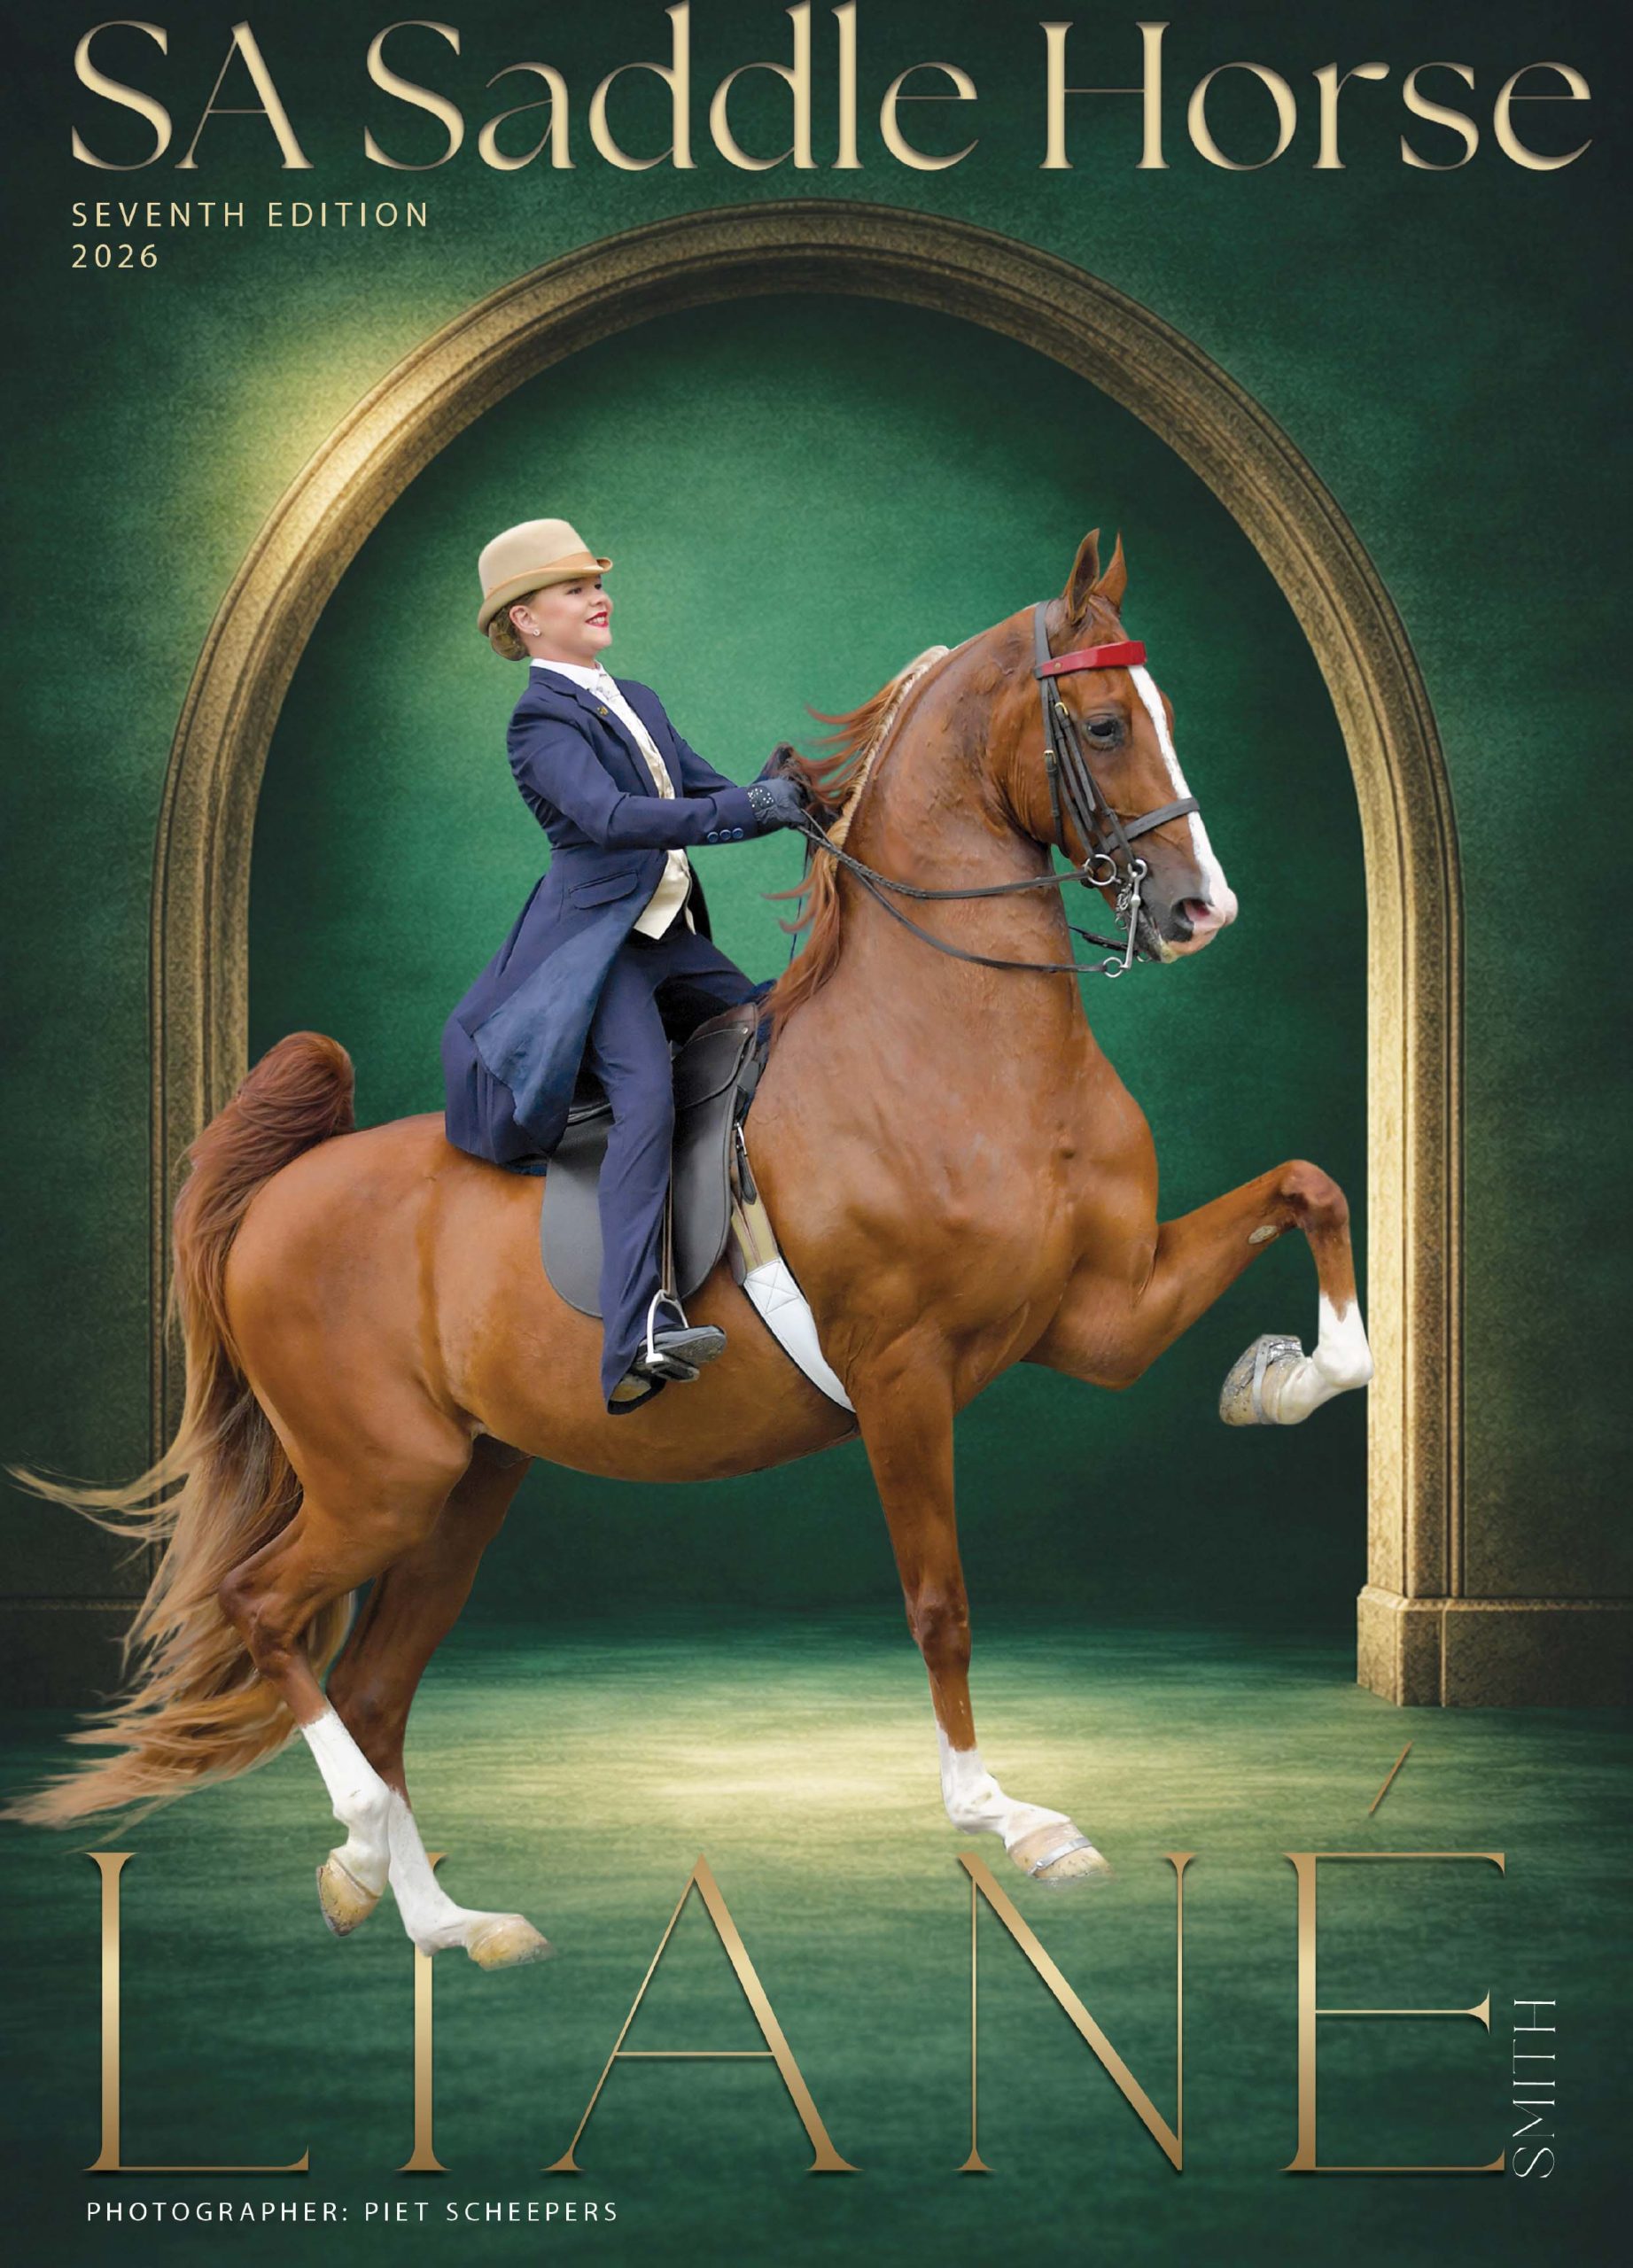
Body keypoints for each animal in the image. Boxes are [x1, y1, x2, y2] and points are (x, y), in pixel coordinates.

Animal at [7, 530, 1371, 1967]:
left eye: (1159, 712)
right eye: (1104, 725)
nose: (1201, 910)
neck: (956, 1046)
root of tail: (277, 1196)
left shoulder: (1096, 1317)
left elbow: (1311, 1190)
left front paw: (1278, 1377)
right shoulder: (902, 1374)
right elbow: (938, 1603)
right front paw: (1009, 1819)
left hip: (462, 1486)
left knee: (372, 1688)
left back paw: (444, 1918)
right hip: (382, 1478)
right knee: (265, 1613)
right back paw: (370, 1858)